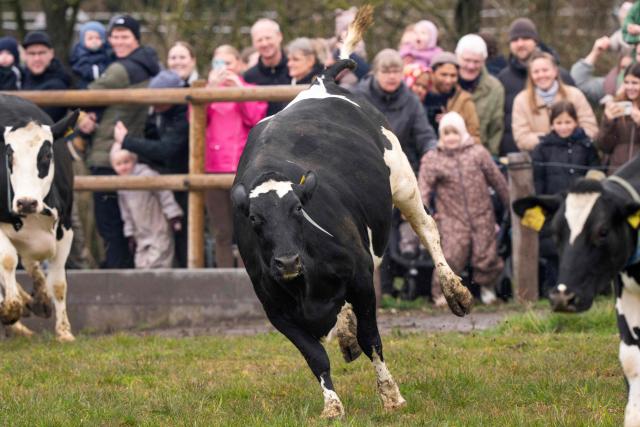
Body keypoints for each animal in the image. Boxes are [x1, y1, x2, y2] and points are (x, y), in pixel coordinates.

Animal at [0, 93, 78, 342]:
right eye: (9, 155)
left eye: (47, 154)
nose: (26, 202)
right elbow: (7, 260)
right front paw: (10, 309)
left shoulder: (66, 228)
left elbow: (59, 283)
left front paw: (64, 332)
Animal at [230, 6, 472, 419]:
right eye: (255, 221)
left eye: (298, 209)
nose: (287, 261)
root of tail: (322, 81)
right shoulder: (275, 309)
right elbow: (315, 357)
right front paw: (331, 405)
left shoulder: (359, 276)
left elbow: (371, 336)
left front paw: (391, 395)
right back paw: (343, 332)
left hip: (403, 180)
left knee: (428, 229)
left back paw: (454, 290)